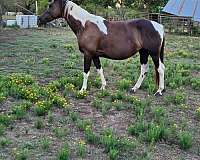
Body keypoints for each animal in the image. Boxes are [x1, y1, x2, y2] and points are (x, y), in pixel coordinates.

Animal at [38, 0, 166, 95]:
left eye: (50, 6)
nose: (39, 19)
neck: (85, 25)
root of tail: (159, 26)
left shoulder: (88, 54)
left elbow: (86, 72)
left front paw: (82, 90)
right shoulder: (95, 55)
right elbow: (99, 69)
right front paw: (103, 86)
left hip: (154, 53)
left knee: (160, 69)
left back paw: (159, 91)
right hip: (143, 52)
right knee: (144, 69)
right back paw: (135, 88)